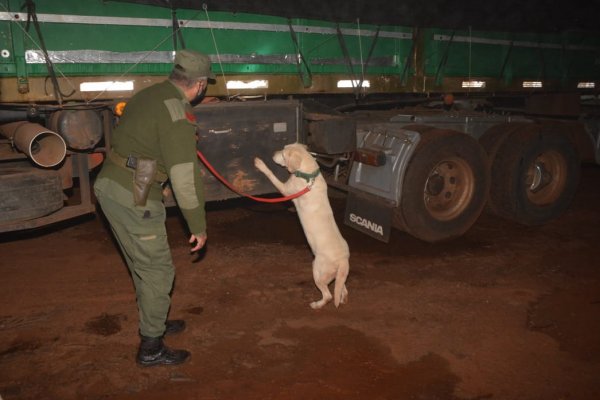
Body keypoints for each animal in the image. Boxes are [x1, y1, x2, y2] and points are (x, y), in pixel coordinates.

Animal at [254, 144, 350, 310]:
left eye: (283, 154)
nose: (273, 153)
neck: (309, 175)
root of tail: (343, 259)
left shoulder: (285, 190)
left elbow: (271, 174)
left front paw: (261, 164)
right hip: (339, 275)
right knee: (341, 288)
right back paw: (343, 298)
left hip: (317, 271)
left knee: (329, 295)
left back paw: (317, 304)